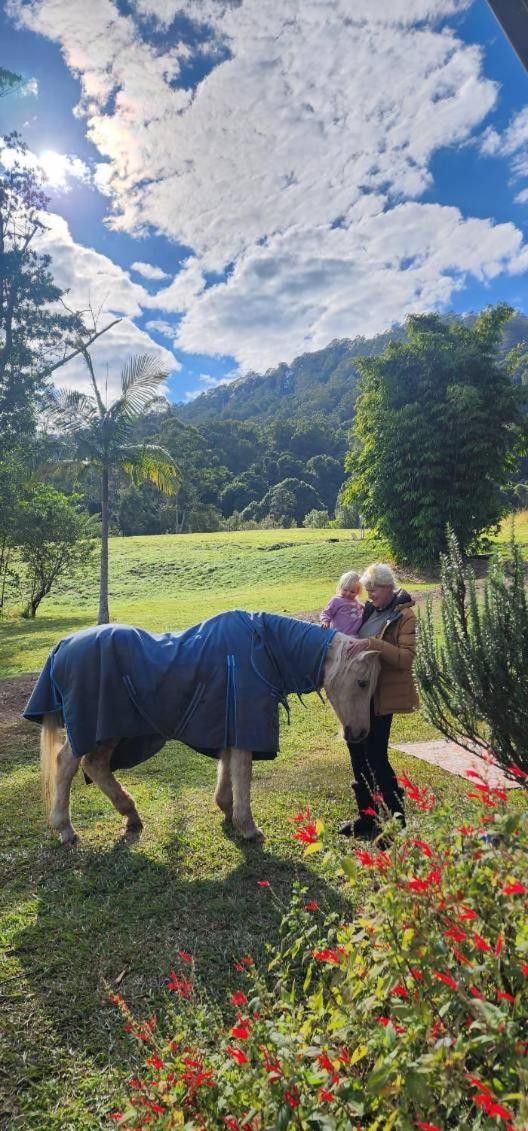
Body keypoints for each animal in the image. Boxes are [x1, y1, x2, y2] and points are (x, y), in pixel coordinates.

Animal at [24, 615, 379, 845]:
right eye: (362, 682)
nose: (360, 733)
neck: (257, 651)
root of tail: (62, 645)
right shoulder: (244, 725)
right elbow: (242, 771)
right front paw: (248, 827)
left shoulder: (230, 724)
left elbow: (228, 768)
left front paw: (228, 811)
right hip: (94, 730)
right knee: (67, 763)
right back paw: (65, 829)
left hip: (110, 732)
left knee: (95, 765)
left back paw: (130, 814)